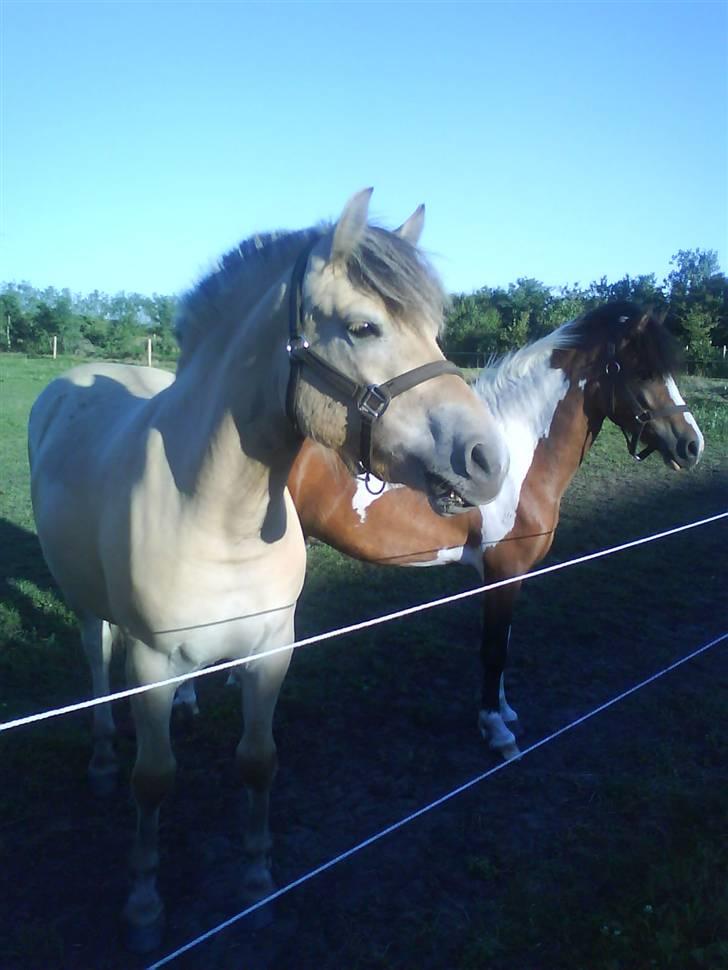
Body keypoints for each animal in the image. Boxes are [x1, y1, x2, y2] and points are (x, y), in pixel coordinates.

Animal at [27, 193, 506, 948]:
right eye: (364, 326)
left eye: (435, 330)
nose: (487, 459)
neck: (217, 513)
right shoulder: (152, 663)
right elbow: (152, 779)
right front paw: (144, 906)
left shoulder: (271, 649)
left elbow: (259, 761)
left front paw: (257, 884)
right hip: (88, 609)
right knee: (96, 663)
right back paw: (102, 758)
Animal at [286, 300, 704, 756]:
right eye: (643, 372)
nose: (692, 445)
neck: (517, 449)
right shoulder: (503, 569)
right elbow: (492, 650)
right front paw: (497, 731)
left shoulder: (507, 575)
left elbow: (503, 641)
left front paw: (504, 711)